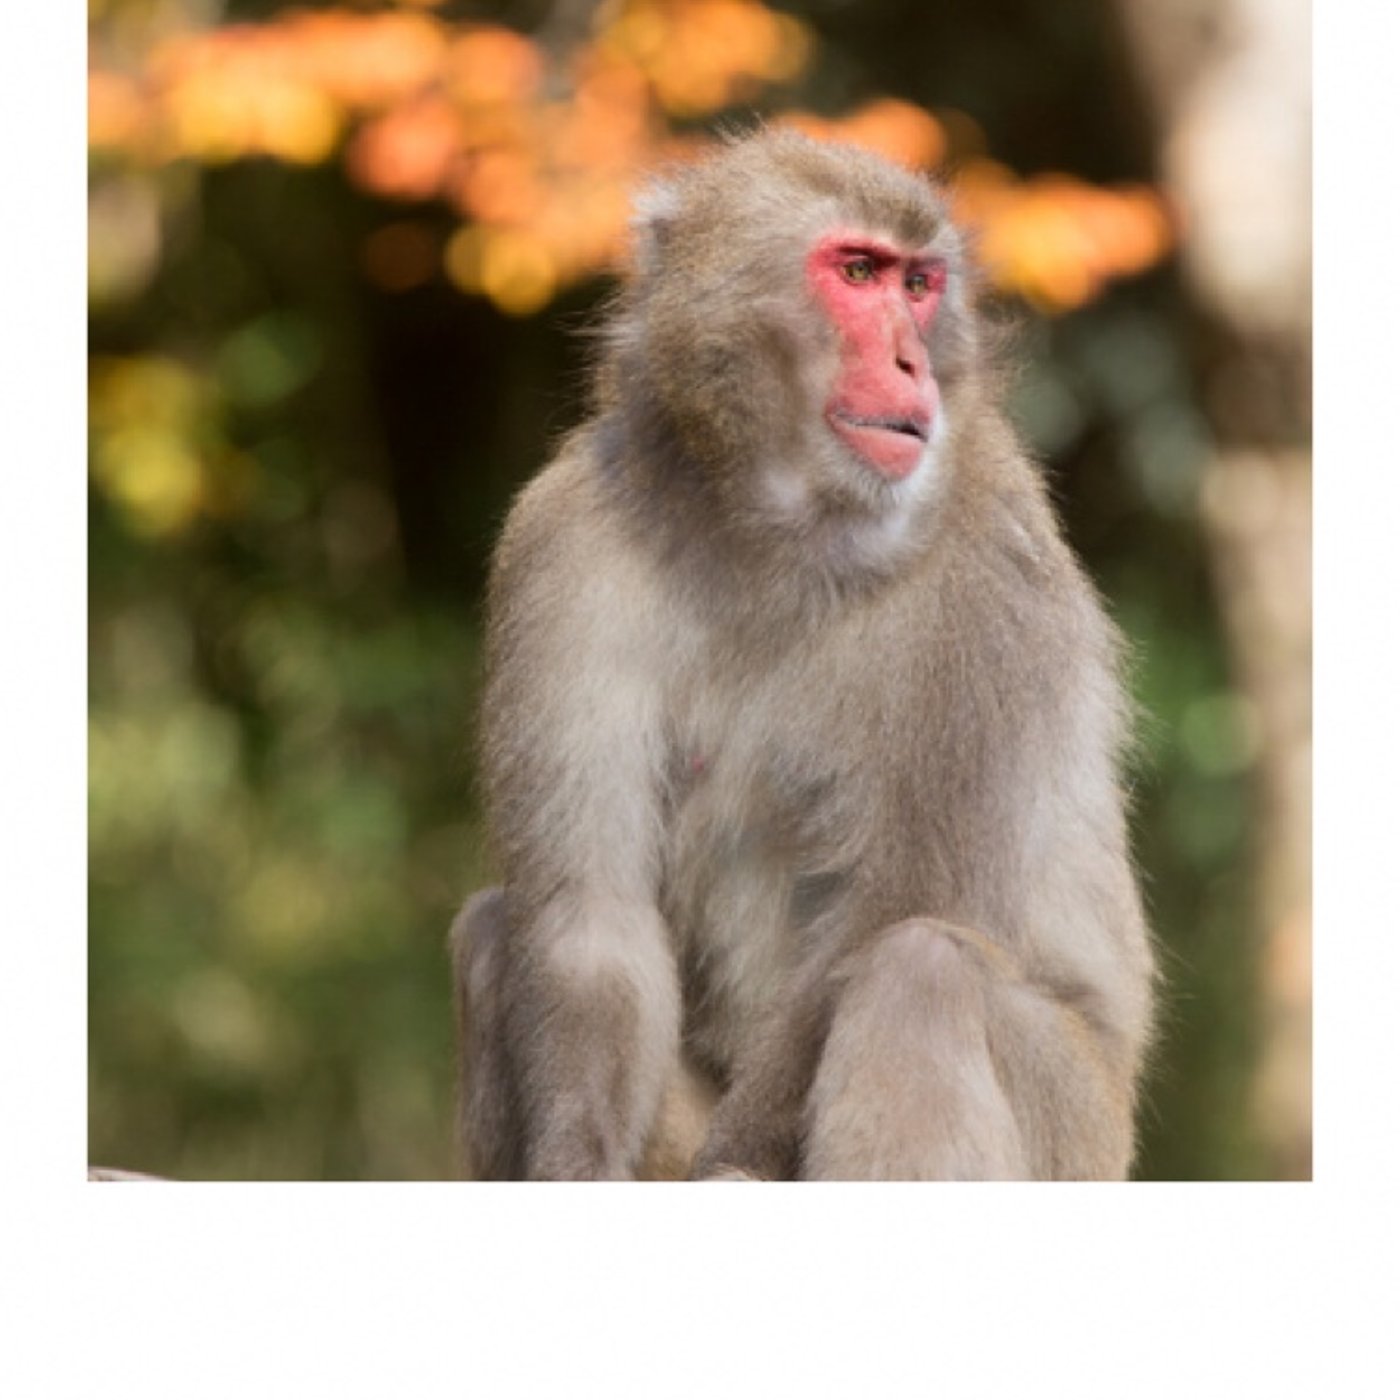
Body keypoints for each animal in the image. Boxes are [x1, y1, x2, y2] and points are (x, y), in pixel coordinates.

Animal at [449, 129, 1155, 1181]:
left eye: (920, 285)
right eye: (857, 273)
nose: (913, 361)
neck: (779, 529)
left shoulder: (990, 578)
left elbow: (884, 917)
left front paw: (732, 1174)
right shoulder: (562, 538)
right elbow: (590, 920)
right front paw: (573, 1164)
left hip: (1081, 1137)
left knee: (919, 974)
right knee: (498, 929)